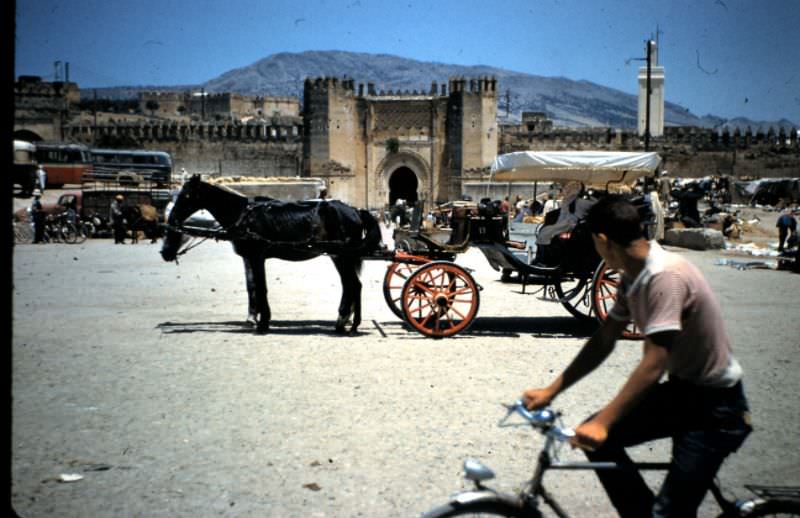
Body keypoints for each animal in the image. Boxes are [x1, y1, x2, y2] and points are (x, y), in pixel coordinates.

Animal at [160, 177, 384, 336]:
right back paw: (346, 322)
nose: (172, 219)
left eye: (185, 196)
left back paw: (349, 324)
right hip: (340, 255)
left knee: (353, 285)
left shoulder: (256, 256)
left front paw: (262, 322)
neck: (243, 216)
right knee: (351, 285)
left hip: (342, 255)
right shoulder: (252, 258)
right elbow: (255, 287)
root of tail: (355, 210)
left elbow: (260, 288)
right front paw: (259, 319)